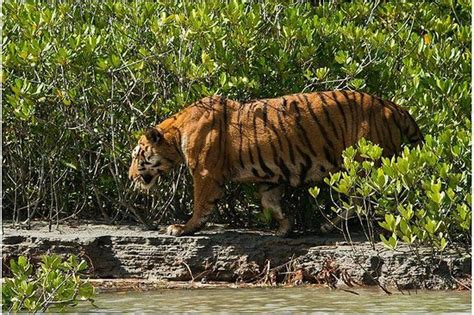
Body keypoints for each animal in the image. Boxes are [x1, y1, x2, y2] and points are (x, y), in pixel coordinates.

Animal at [129, 90, 422, 237]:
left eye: (136, 155)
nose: (131, 176)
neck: (176, 132)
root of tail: (394, 106)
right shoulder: (269, 177)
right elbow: (270, 203)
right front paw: (284, 228)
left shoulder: (205, 173)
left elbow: (200, 204)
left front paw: (183, 228)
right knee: (362, 200)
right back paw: (329, 225)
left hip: (366, 164)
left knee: (373, 198)